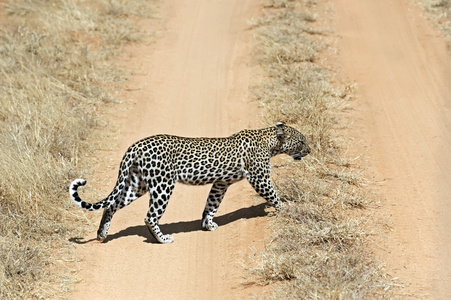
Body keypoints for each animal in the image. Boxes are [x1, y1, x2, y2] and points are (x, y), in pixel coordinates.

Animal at [69, 122, 310, 244]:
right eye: (301, 141)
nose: (309, 150)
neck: (269, 141)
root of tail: (135, 146)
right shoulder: (259, 177)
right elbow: (274, 195)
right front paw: (287, 209)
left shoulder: (220, 183)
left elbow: (211, 205)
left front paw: (208, 224)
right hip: (162, 185)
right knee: (150, 216)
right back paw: (163, 239)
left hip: (137, 184)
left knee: (111, 205)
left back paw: (102, 234)